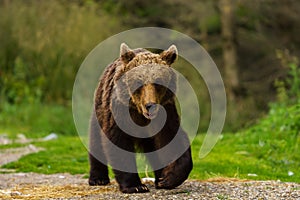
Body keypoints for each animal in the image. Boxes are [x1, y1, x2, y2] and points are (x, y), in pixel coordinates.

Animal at [88, 43, 192, 193]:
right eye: (139, 81)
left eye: (158, 82)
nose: (150, 105)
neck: (139, 114)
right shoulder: (119, 114)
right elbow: (119, 142)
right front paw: (135, 186)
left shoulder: (166, 112)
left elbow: (172, 139)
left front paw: (167, 179)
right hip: (100, 109)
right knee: (96, 141)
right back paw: (98, 178)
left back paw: (158, 178)